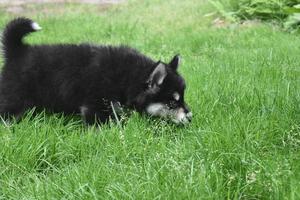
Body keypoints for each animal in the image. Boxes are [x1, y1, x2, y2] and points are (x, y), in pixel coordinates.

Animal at [0, 18, 192, 124]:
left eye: (182, 99)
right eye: (172, 103)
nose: (190, 117)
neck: (127, 76)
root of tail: (17, 51)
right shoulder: (95, 105)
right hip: (15, 99)